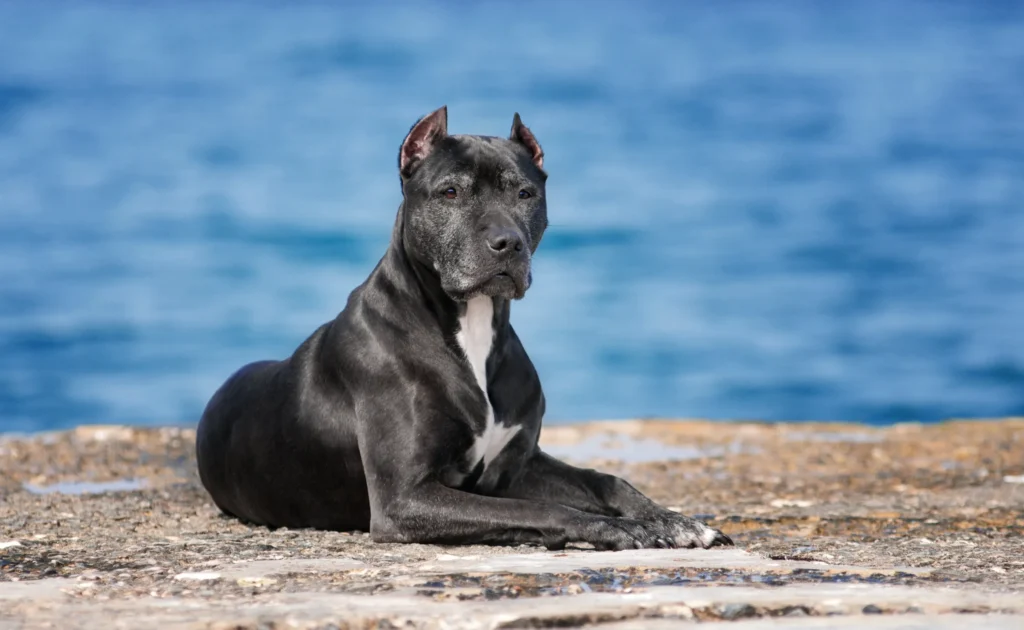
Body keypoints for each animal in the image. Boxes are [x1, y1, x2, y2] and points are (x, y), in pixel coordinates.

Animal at [195, 108, 733, 553]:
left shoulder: (517, 463)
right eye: (450, 192)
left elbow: (605, 480)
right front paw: (619, 529)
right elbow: (540, 509)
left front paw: (676, 521)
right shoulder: (405, 499)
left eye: (525, 193)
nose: (507, 243)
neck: (470, 325)